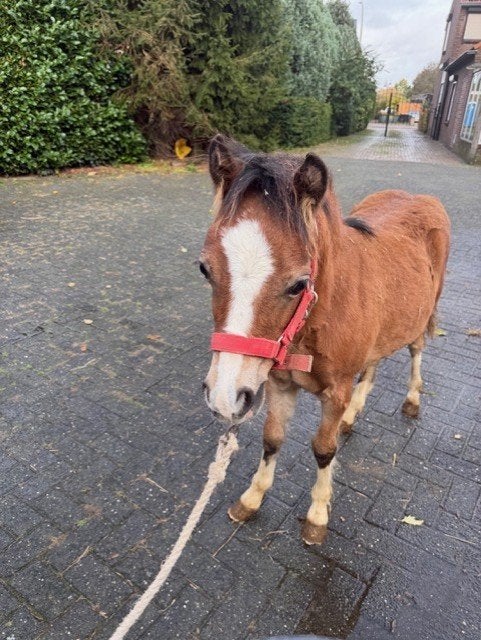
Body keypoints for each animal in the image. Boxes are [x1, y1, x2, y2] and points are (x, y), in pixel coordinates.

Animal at [199, 134, 450, 545]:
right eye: (205, 268)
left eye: (299, 284)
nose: (225, 399)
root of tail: (420, 197)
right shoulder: (280, 385)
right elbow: (272, 438)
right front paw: (251, 498)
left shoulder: (334, 391)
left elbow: (323, 449)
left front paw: (317, 515)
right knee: (373, 363)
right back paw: (352, 414)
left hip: (423, 314)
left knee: (416, 350)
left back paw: (412, 400)